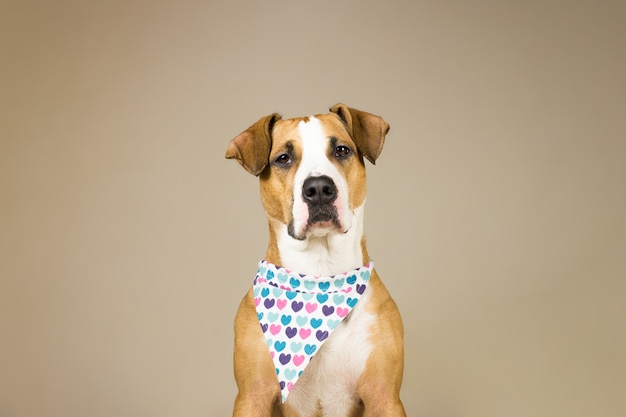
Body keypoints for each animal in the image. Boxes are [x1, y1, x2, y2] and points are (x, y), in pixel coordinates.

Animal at [224, 104, 404, 416]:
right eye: (283, 158)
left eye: (342, 150)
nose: (319, 188)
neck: (319, 274)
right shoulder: (252, 396)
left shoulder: (385, 397)